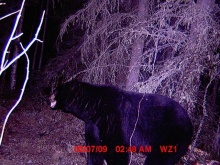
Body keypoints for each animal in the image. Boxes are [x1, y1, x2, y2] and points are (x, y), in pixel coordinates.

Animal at [49, 79, 192, 164]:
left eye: (57, 89)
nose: (49, 96)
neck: (95, 107)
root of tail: (189, 122)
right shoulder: (93, 124)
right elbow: (94, 146)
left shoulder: (114, 118)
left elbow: (117, 146)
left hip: (171, 136)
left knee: (159, 159)